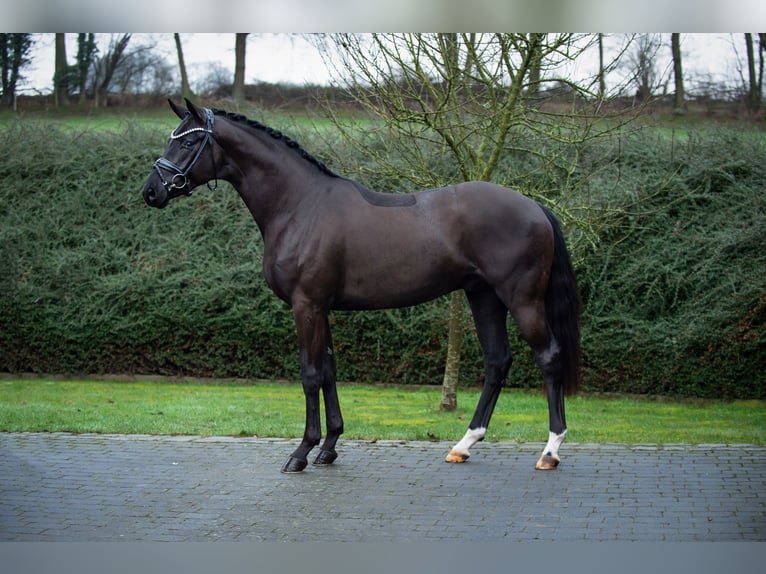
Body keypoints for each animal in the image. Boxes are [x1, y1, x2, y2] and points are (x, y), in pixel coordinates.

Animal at [142, 99, 582, 473]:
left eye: (190, 140)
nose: (151, 191)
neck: (300, 205)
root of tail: (536, 207)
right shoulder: (322, 307)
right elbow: (329, 370)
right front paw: (329, 447)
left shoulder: (306, 305)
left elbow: (310, 374)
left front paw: (301, 452)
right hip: (483, 296)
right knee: (497, 361)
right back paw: (464, 444)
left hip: (521, 299)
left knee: (549, 357)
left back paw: (550, 451)